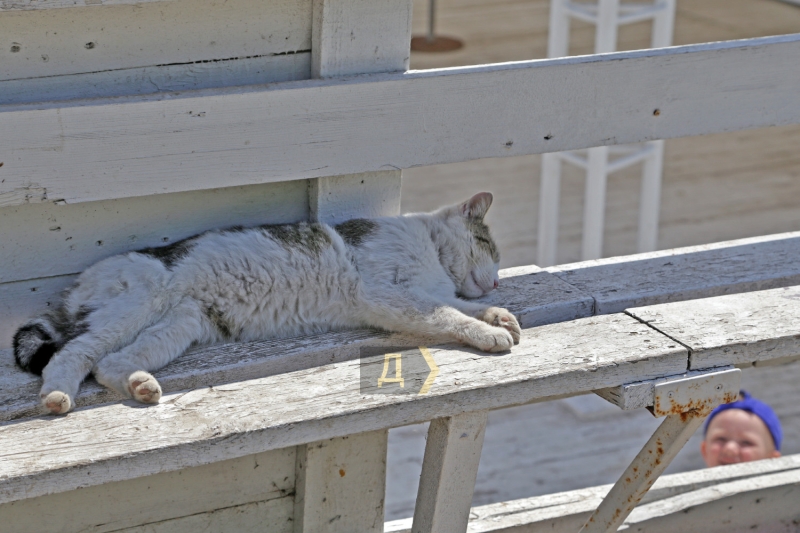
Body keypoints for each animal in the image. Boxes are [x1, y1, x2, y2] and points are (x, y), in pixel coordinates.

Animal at [15, 192, 520, 416]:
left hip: (180, 324)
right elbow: (448, 314)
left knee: (109, 365)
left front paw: (499, 316)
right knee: (72, 354)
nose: (498, 280)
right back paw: (58, 397)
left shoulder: (419, 295)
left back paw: (141, 386)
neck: (431, 253)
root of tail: (76, 287)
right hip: (137, 304)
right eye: (490, 248)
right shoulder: (387, 294)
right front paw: (489, 332)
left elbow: (458, 307)